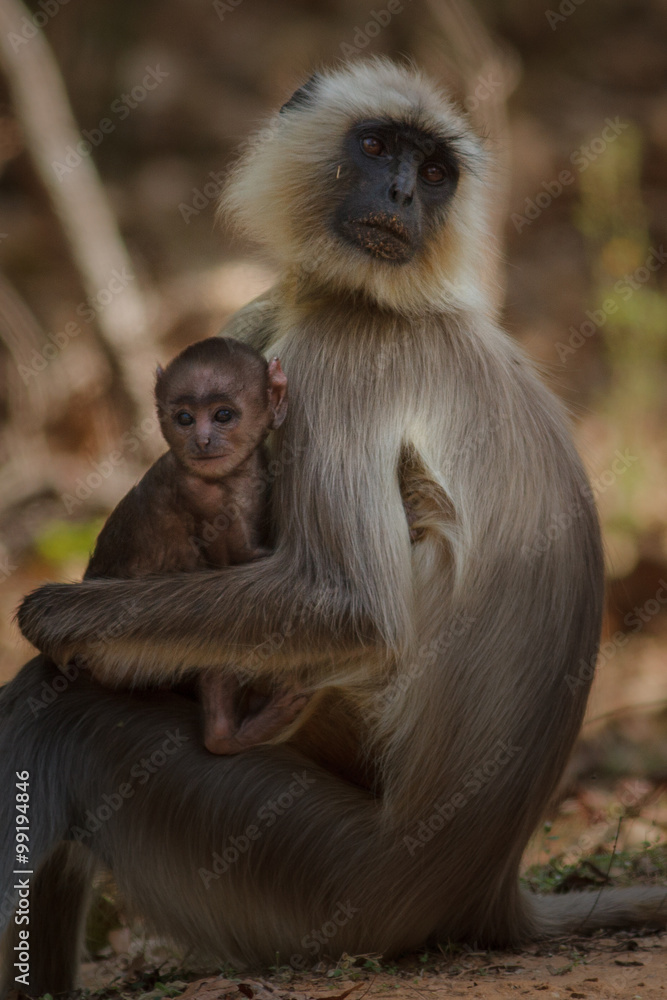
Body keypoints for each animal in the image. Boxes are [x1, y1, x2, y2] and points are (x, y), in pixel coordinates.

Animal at [84, 335, 310, 755]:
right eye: (185, 419)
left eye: (222, 415)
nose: (201, 440)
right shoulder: (199, 492)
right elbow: (237, 568)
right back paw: (226, 737)